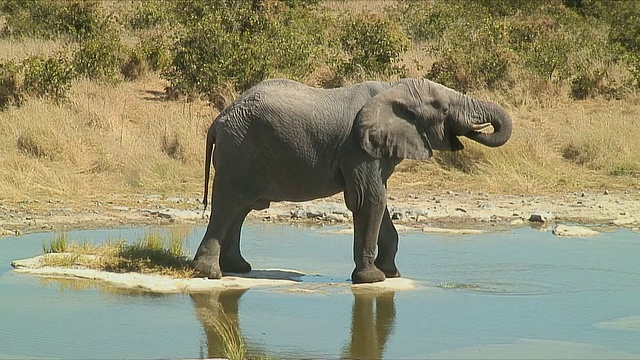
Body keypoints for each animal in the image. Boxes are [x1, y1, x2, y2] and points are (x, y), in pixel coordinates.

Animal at [192, 78, 512, 284]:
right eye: (443, 109)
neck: (393, 88)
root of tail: (218, 120)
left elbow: (380, 200)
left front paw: (391, 274)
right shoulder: (358, 148)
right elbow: (369, 199)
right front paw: (372, 279)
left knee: (240, 208)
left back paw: (239, 269)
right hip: (240, 151)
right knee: (229, 204)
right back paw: (209, 274)